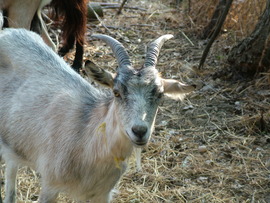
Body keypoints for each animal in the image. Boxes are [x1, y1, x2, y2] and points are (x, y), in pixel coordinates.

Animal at [0, 29, 194, 203]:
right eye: (116, 92)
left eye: (160, 94)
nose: (139, 131)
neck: (85, 137)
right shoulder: (50, 185)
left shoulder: (101, 193)